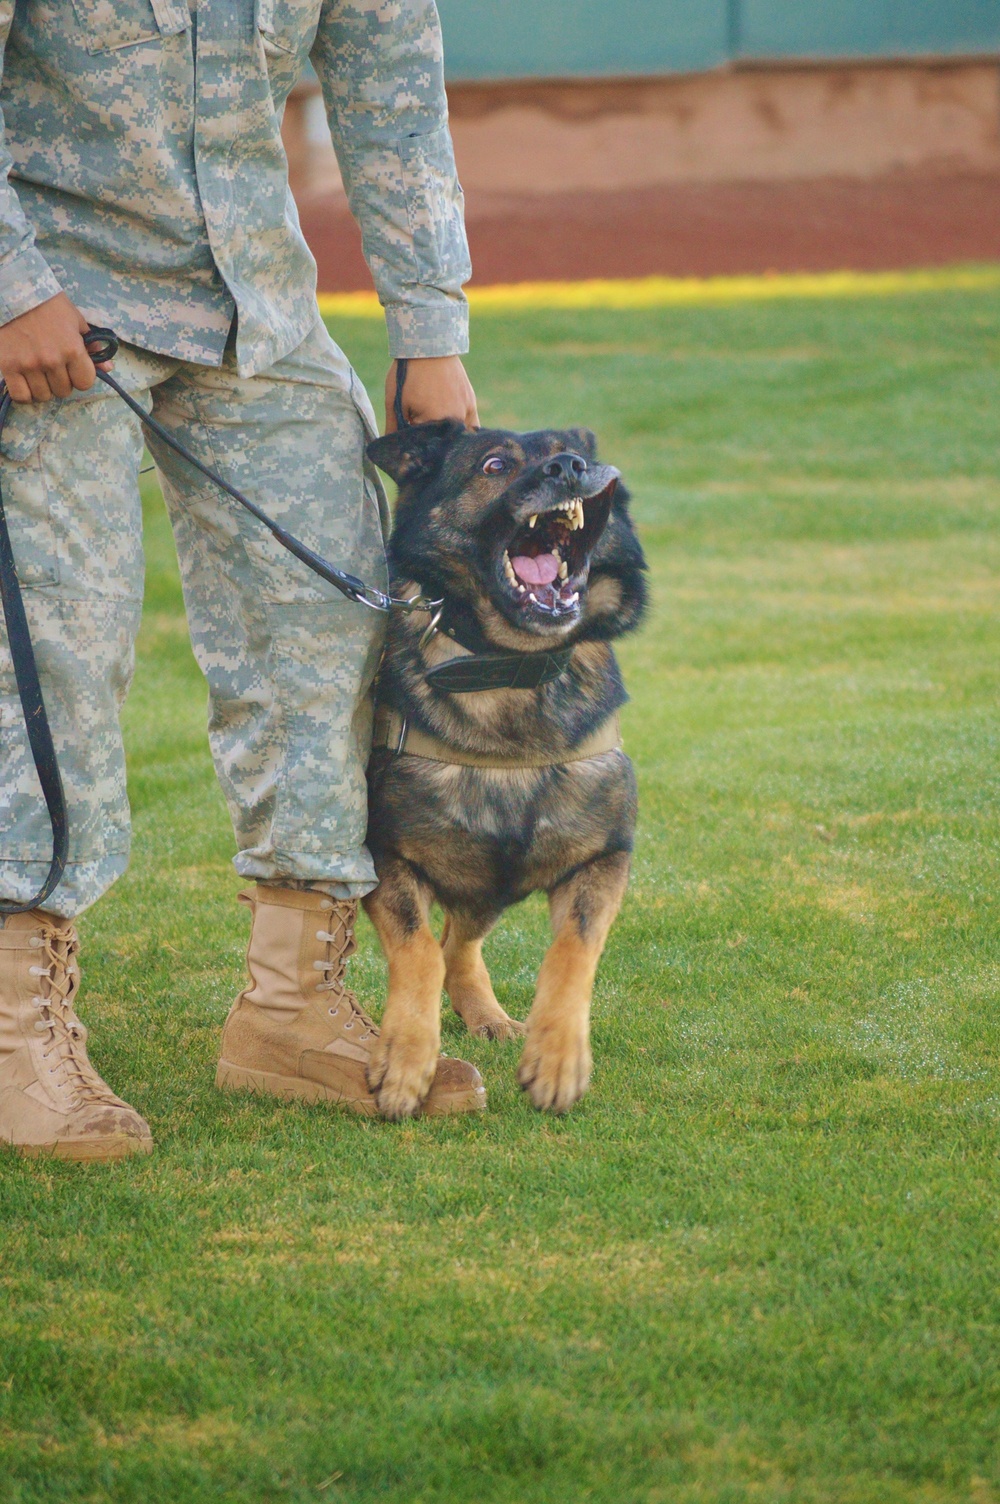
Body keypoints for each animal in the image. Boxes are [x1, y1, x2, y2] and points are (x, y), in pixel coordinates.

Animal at [362, 421, 643, 1118]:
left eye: (582, 456)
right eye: (495, 465)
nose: (570, 468)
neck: (510, 670)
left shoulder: (605, 859)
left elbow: (573, 950)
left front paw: (558, 1056)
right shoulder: (382, 856)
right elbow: (416, 953)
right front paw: (406, 1059)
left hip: (492, 878)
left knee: (460, 941)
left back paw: (487, 1015)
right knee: (445, 944)